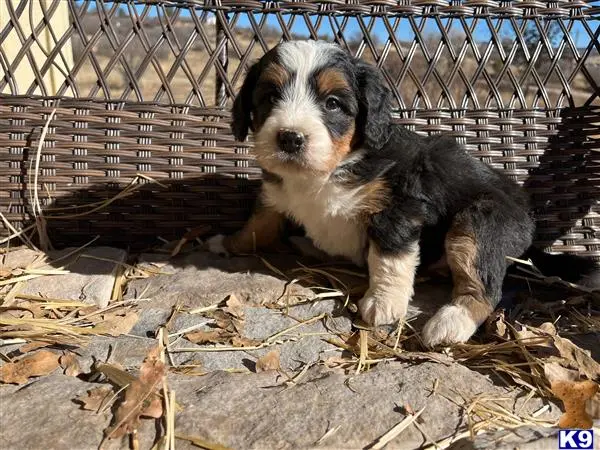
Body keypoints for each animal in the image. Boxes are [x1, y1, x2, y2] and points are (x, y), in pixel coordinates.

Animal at [205, 39, 596, 348]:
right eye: (270, 96)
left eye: (332, 103)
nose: (289, 138)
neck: (330, 169)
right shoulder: (275, 195)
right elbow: (258, 225)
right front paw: (227, 242)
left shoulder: (398, 207)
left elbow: (389, 258)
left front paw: (383, 303)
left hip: (480, 221)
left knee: (484, 285)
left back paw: (451, 322)